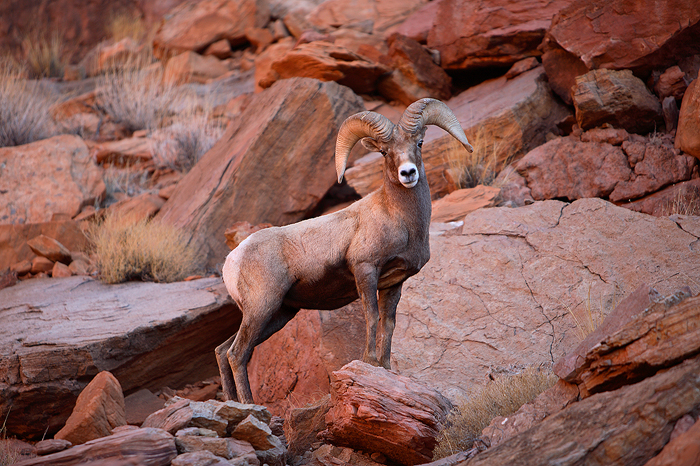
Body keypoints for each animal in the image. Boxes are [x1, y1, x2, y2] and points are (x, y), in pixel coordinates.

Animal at [216, 98, 474, 403]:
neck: (398, 217)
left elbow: (388, 324)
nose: (408, 173)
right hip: (262, 308)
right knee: (237, 353)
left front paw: (386, 368)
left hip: (277, 314)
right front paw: (369, 362)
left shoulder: (394, 283)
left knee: (223, 351)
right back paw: (251, 406)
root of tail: (231, 262)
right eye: (384, 151)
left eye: (419, 143)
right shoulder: (365, 270)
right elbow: (372, 317)